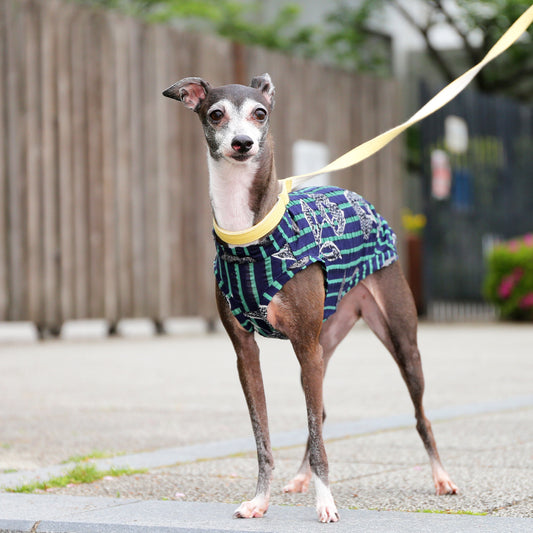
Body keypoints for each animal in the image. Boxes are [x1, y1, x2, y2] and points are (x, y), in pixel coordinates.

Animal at [163, 72, 458, 520]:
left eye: (260, 113)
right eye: (215, 114)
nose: (243, 144)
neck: (249, 238)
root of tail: (359, 198)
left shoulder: (304, 344)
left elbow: (318, 438)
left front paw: (326, 505)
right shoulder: (247, 353)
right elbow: (263, 436)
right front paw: (260, 500)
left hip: (399, 340)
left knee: (418, 413)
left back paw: (441, 477)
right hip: (325, 339)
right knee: (319, 411)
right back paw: (300, 478)